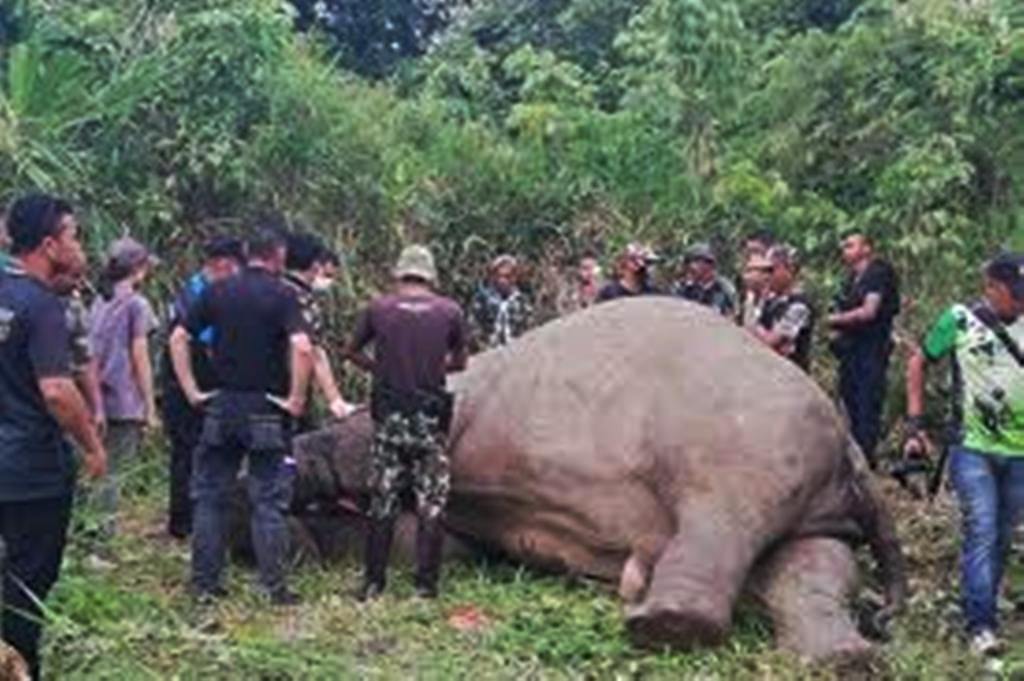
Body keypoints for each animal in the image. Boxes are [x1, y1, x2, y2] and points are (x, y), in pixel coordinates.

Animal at [230, 296, 905, 659]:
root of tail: (852, 448)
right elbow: (422, 538)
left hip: (749, 444)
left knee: (726, 522)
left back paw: (664, 627)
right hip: (807, 488)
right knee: (807, 563)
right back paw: (848, 658)